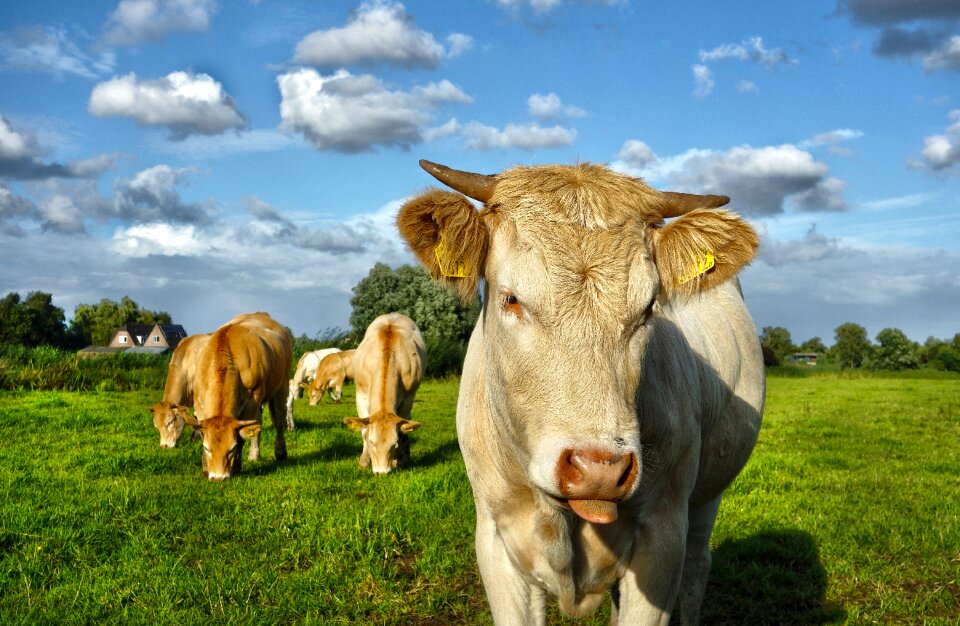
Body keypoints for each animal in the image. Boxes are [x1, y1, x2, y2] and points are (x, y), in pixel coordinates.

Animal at [184, 312, 292, 482]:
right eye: (207, 448)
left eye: (232, 448)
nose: (218, 477)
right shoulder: (199, 403)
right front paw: (206, 467)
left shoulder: (252, 399)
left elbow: (242, 435)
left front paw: (236, 467)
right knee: (258, 423)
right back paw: (254, 454)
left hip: (282, 384)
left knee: (279, 419)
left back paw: (280, 452)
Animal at [342, 312, 424, 472]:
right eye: (372, 442)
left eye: (394, 444)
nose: (382, 472)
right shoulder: (361, 395)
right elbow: (363, 429)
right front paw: (364, 461)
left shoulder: (408, 398)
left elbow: (402, 427)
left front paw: (399, 459)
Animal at [396, 162, 764, 624]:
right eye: (511, 298)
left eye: (649, 307)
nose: (598, 470)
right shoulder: (496, 541)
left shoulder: (663, 540)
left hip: (706, 500)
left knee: (697, 570)